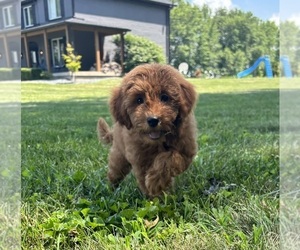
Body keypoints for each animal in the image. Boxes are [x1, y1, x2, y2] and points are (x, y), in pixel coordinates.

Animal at [97, 63, 198, 196]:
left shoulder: (187, 150)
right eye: (139, 100)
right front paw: (155, 195)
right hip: (119, 156)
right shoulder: (139, 159)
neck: (158, 142)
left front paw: (156, 183)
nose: (153, 120)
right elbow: (143, 178)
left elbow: (171, 158)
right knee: (115, 172)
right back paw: (111, 188)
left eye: (165, 97)